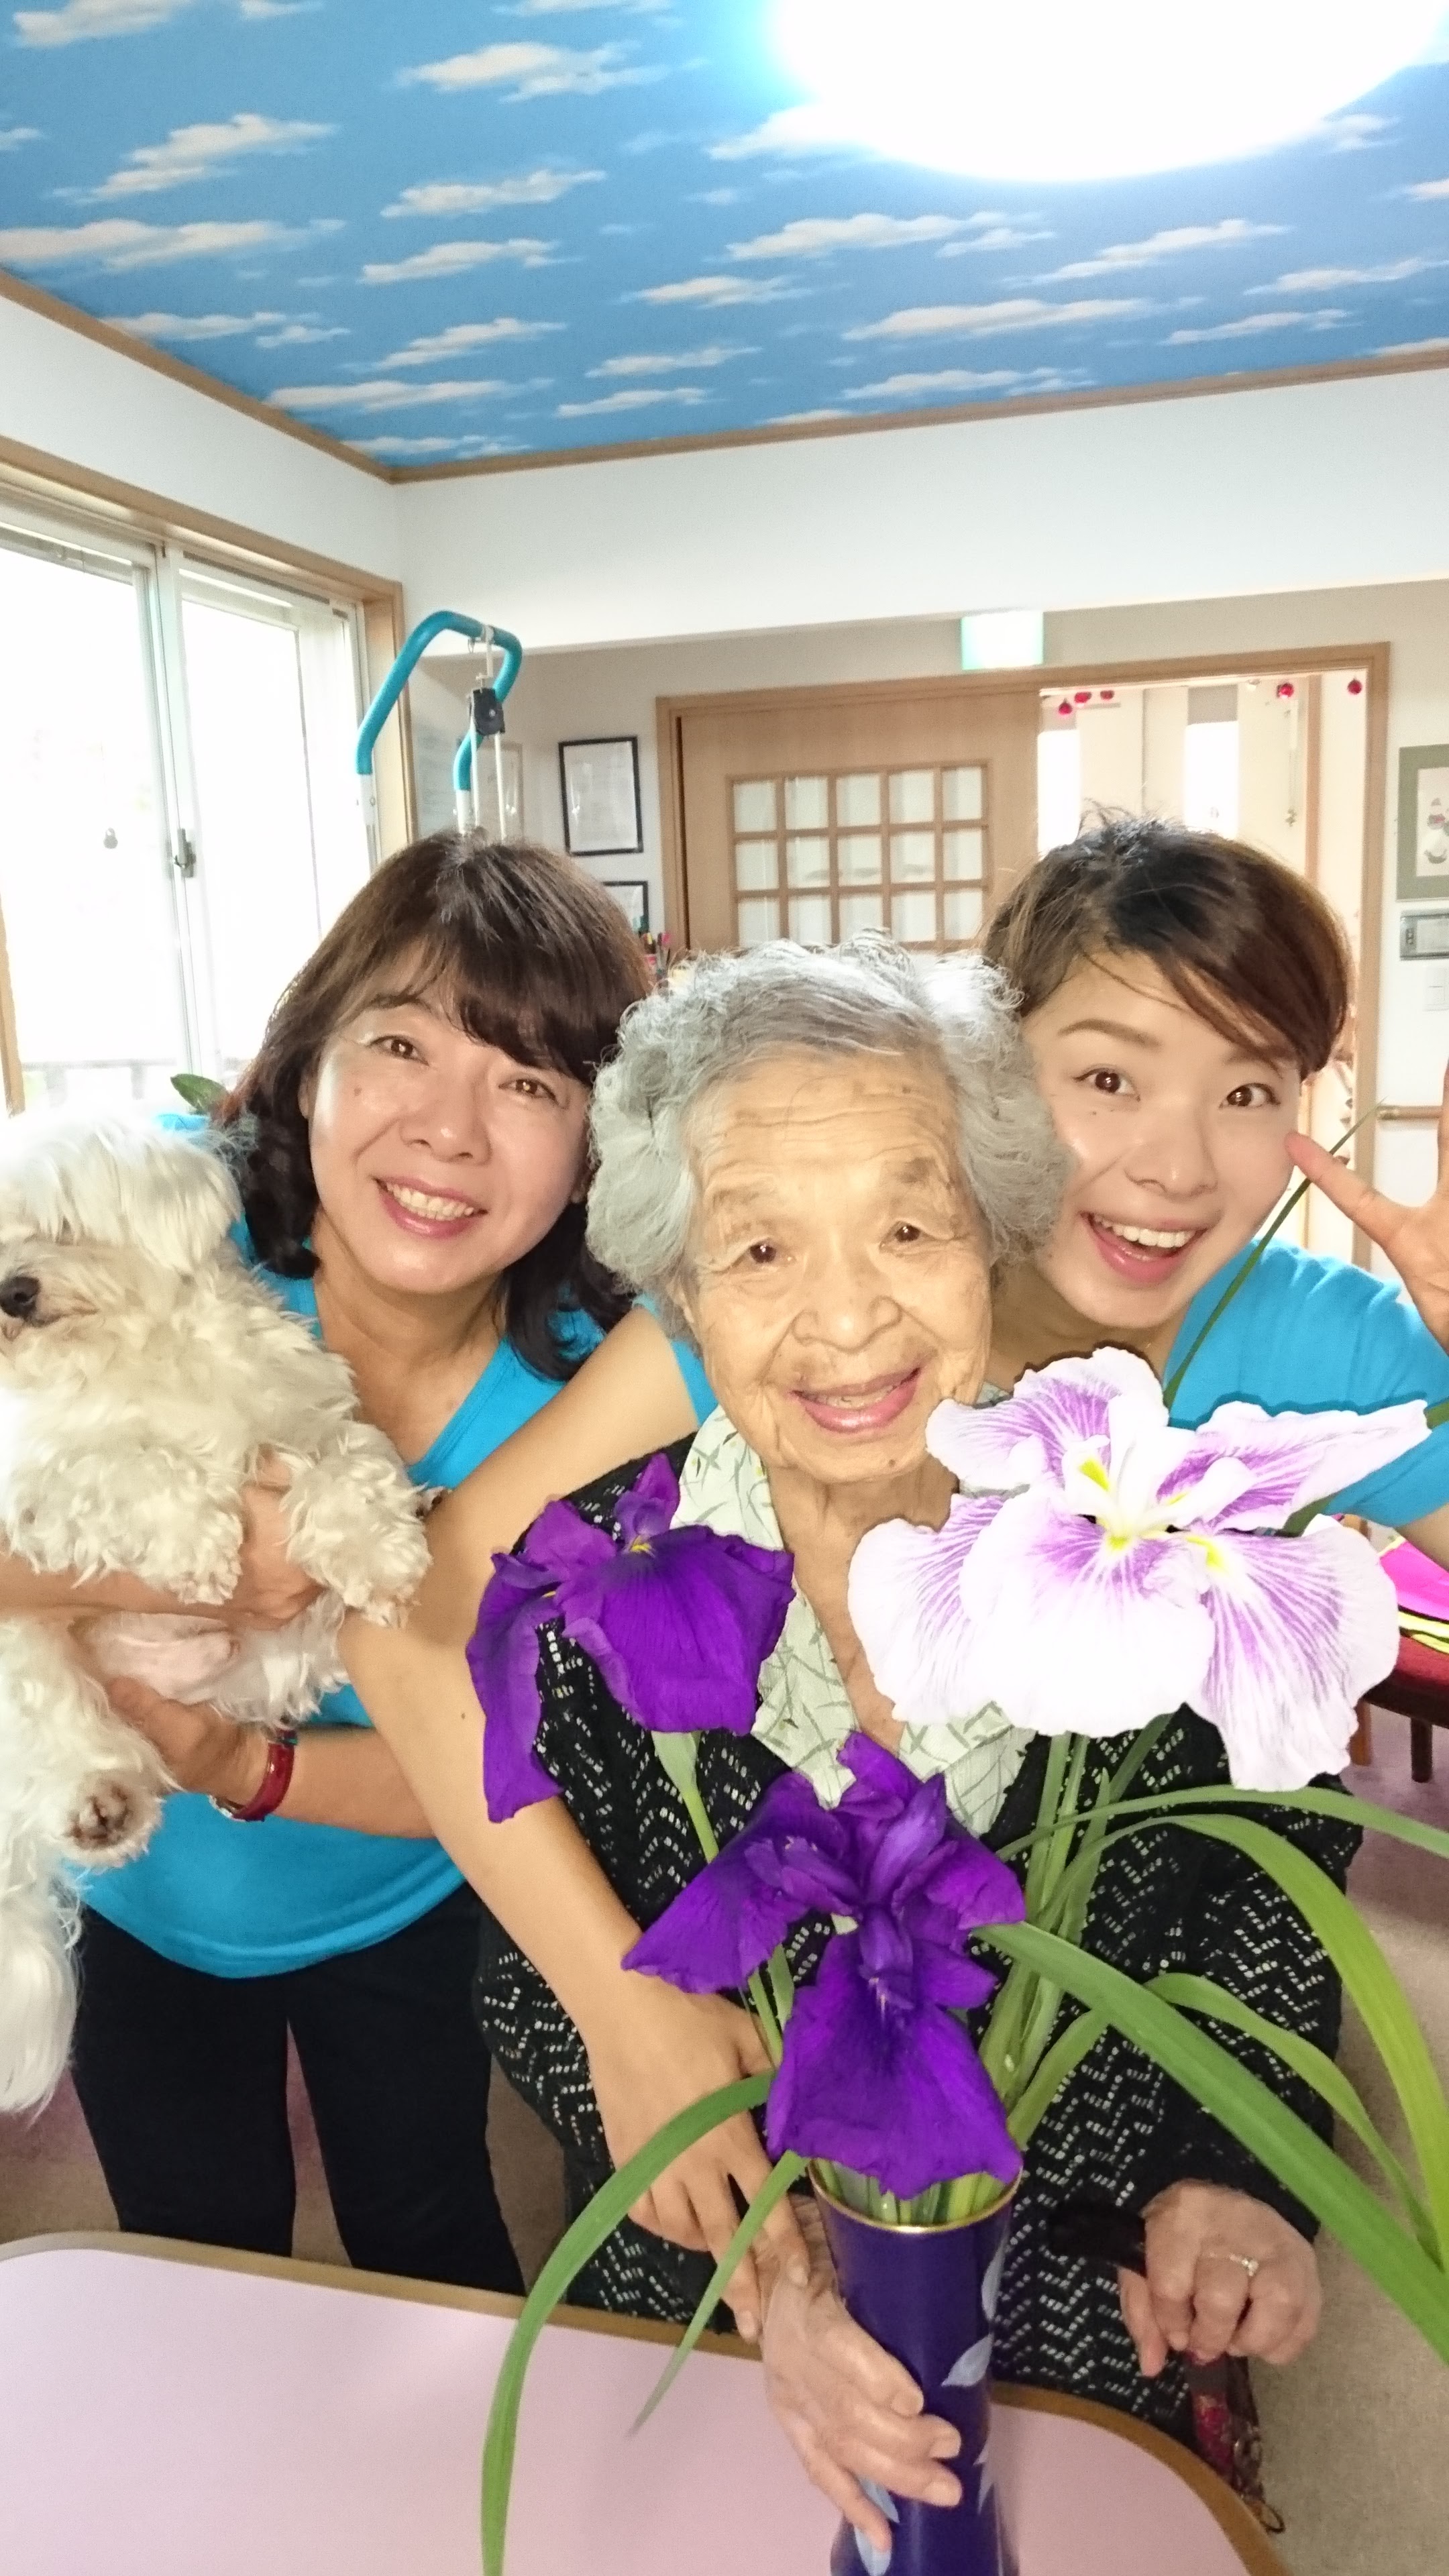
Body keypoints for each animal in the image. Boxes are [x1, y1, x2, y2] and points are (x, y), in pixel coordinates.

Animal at [0, 1110, 431, 2110]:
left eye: (63, 1220)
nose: (10, 1292)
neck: (131, 1358)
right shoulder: (29, 1482)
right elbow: (118, 1470)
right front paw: (195, 1540)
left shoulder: (307, 1416)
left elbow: (348, 1462)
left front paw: (375, 1546)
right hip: (25, 1659)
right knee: (62, 1743)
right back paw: (100, 1805)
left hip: (269, 1661)